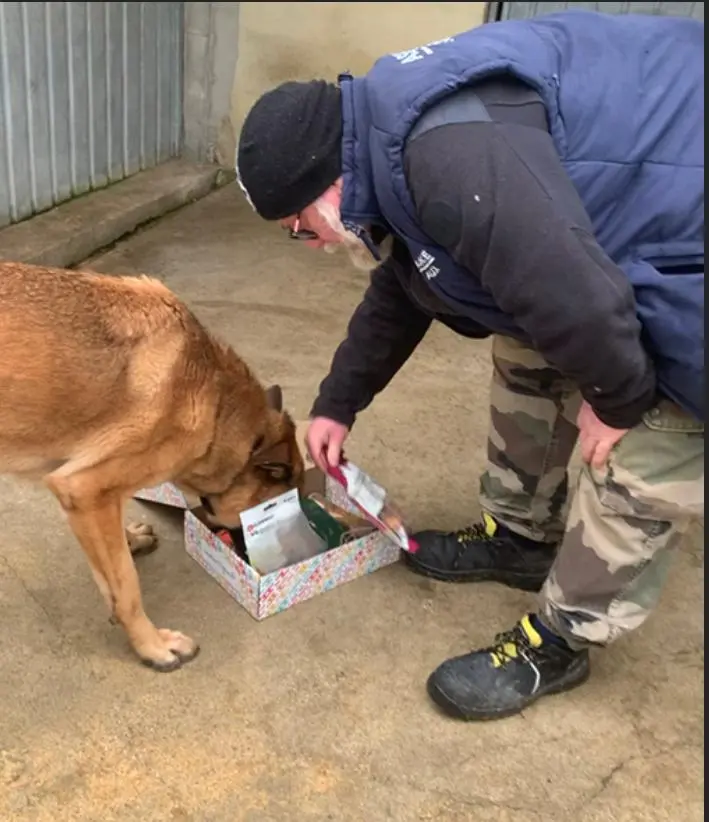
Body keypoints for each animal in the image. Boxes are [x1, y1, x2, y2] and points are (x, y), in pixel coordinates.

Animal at [0, 266, 302, 676]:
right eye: (266, 513)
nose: (247, 555)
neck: (217, 405)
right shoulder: (84, 487)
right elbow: (127, 584)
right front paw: (152, 644)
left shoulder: (89, 497)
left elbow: (112, 557)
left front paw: (128, 541)